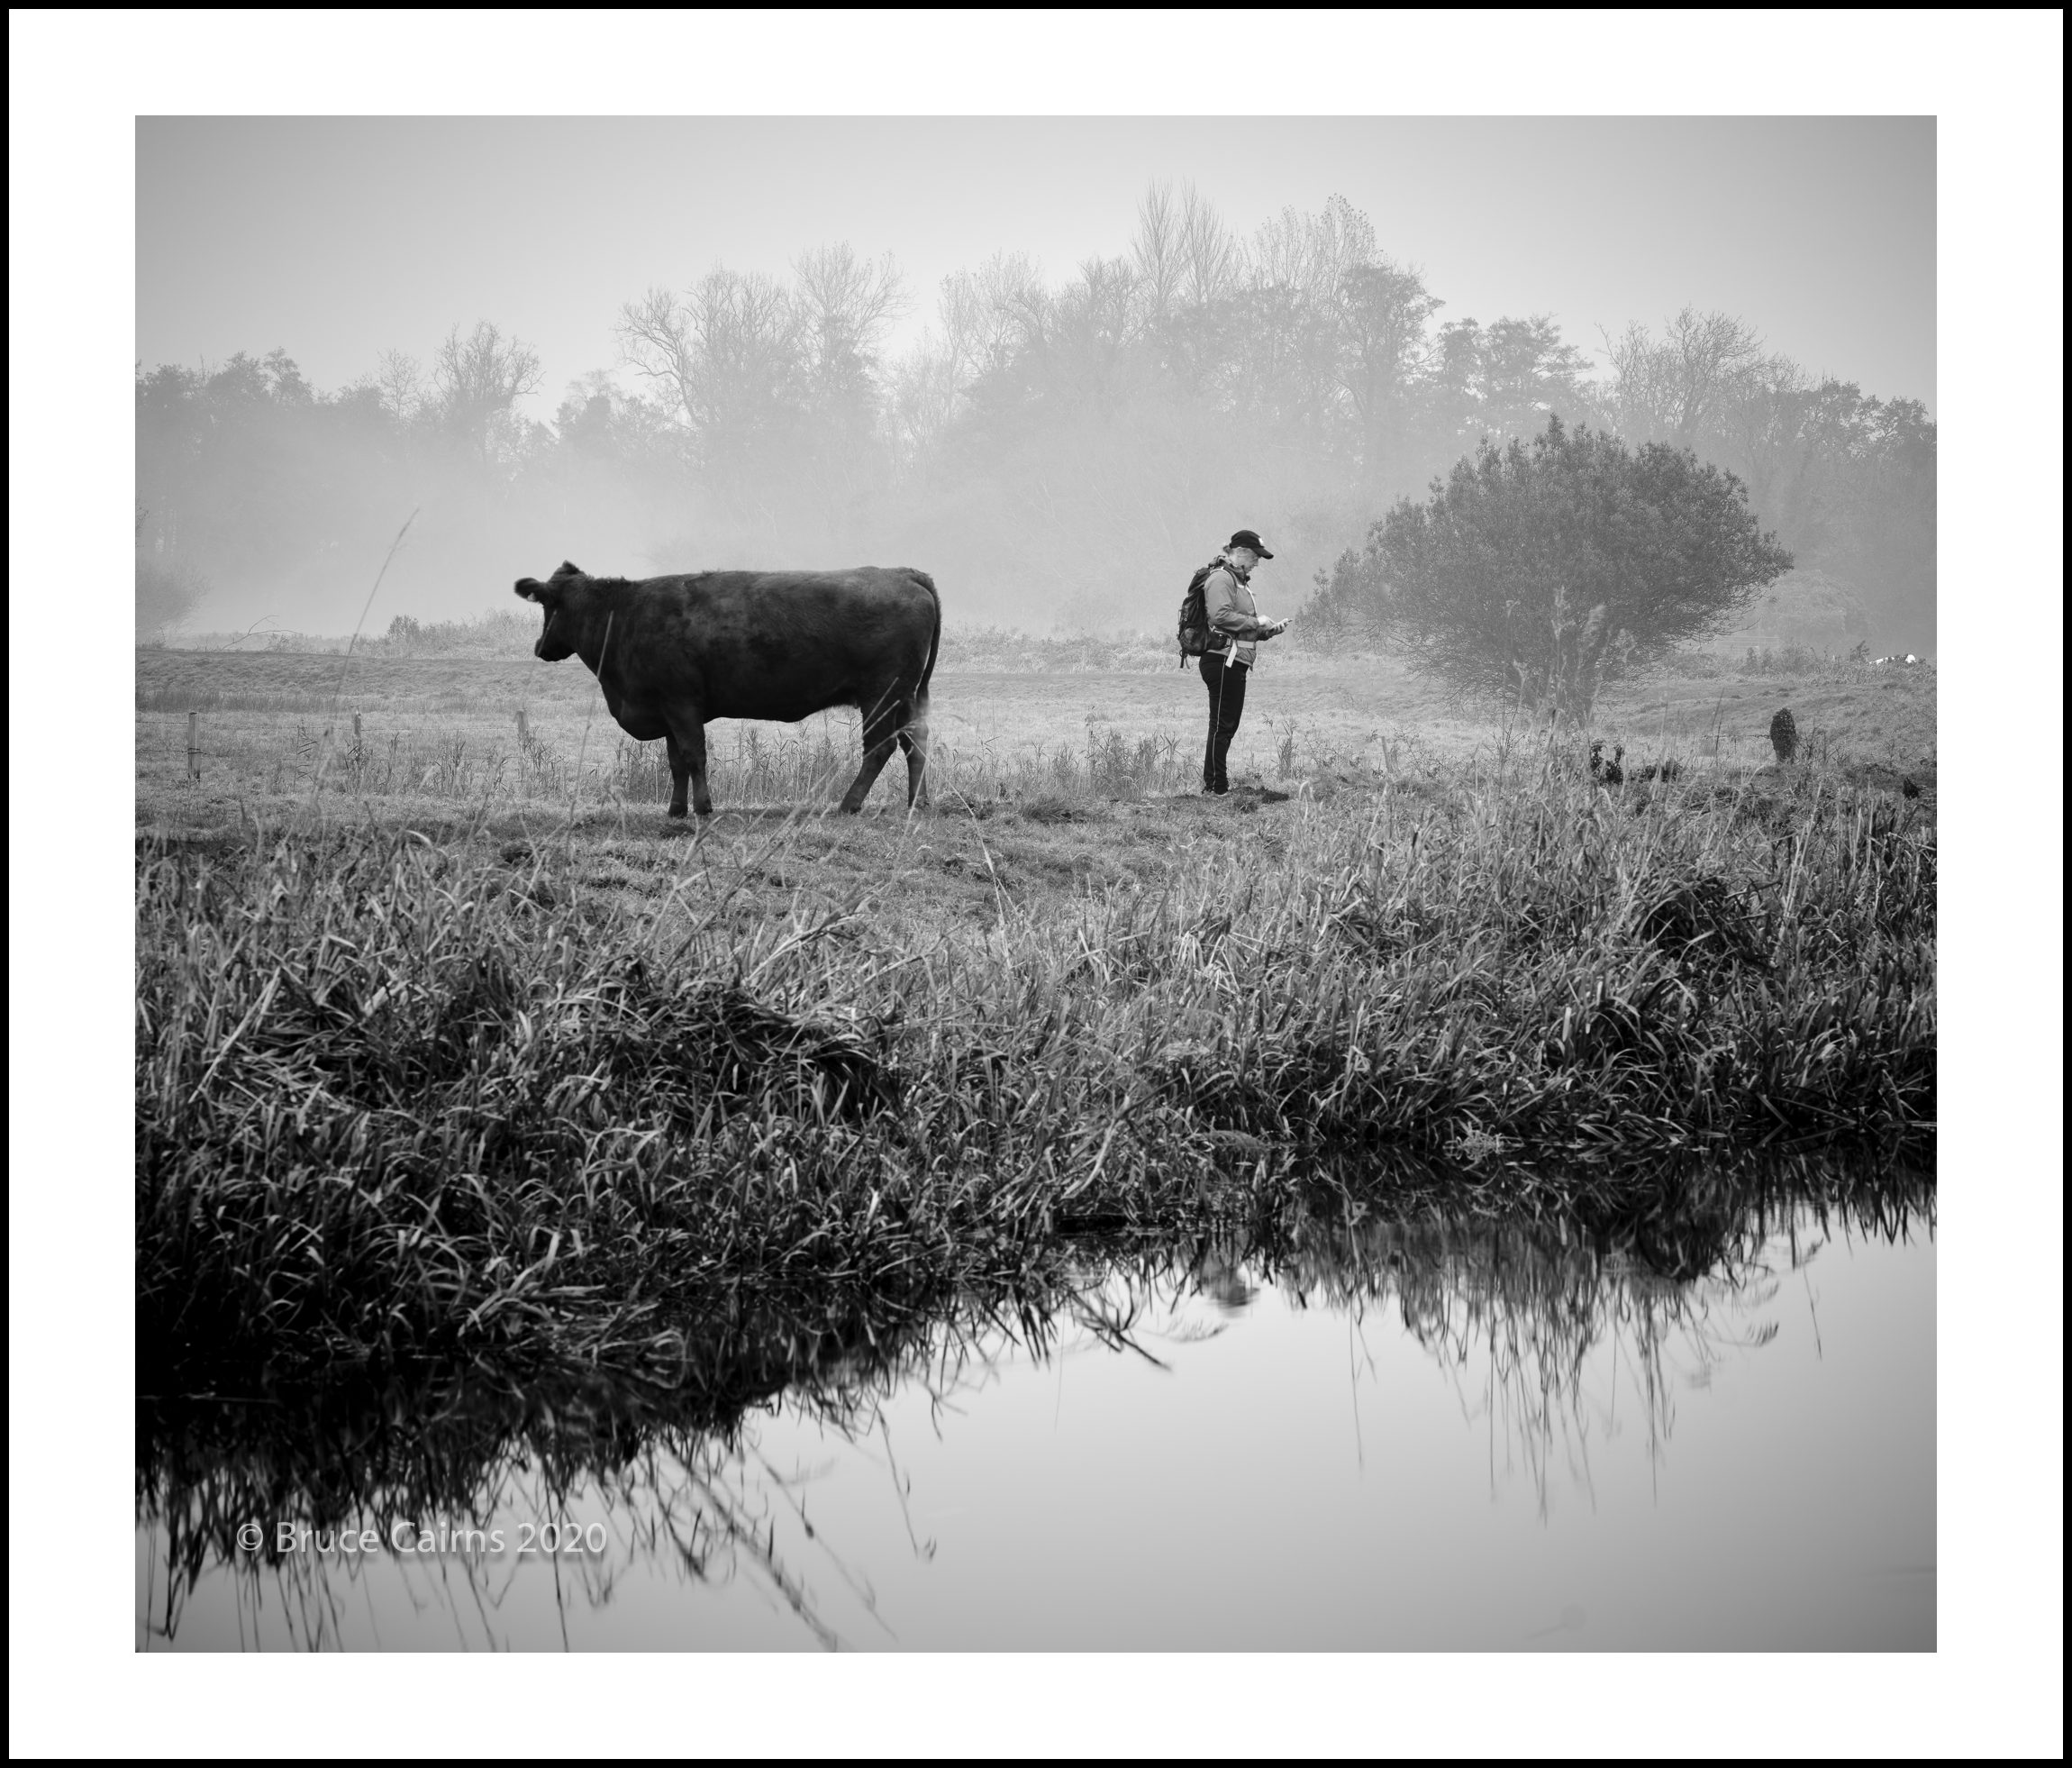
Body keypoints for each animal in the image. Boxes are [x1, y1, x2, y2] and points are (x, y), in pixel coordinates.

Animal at [514, 561, 939, 818]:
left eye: (547, 607)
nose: (540, 648)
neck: (624, 617)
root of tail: (902, 572)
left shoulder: (681, 702)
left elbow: (694, 755)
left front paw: (703, 807)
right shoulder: (667, 708)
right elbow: (675, 762)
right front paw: (676, 809)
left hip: (880, 694)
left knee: (880, 747)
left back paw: (848, 804)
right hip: (905, 696)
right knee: (915, 743)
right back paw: (916, 802)